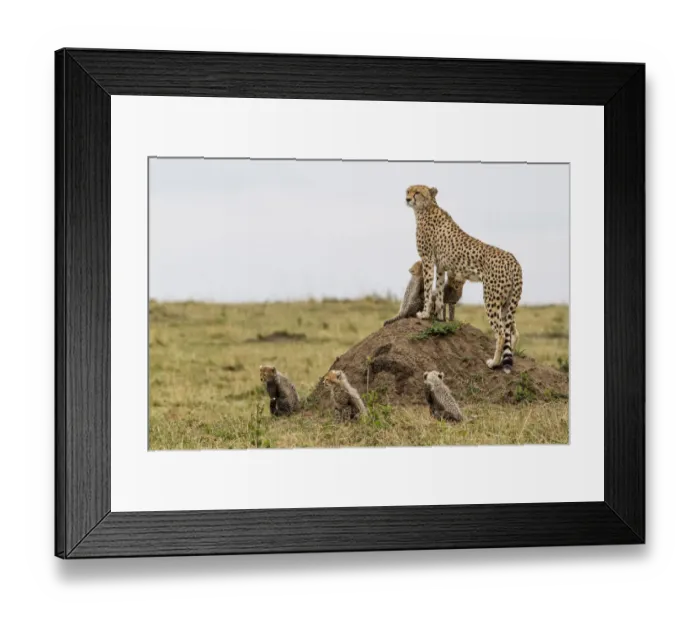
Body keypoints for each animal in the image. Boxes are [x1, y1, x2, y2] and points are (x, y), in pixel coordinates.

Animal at [406, 184, 523, 373]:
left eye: (417, 192)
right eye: (407, 191)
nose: (407, 199)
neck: (426, 208)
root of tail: (513, 259)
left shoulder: (428, 260)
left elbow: (429, 287)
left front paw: (424, 313)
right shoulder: (441, 266)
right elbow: (439, 290)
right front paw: (439, 316)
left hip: (492, 299)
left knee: (501, 333)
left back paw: (494, 363)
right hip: (507, 302)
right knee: (512, 331)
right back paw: (510, 359)